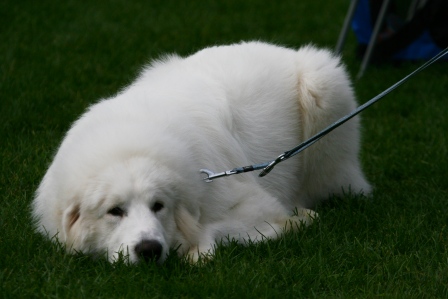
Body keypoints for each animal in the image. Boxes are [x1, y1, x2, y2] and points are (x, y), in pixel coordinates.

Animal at [31, 41, 372, 264]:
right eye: (115, 211)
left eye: (158, 206)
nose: (149, 249)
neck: (128, 145)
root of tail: (283, 49)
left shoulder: (256, 204)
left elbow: (210, 227)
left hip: (322, 89)